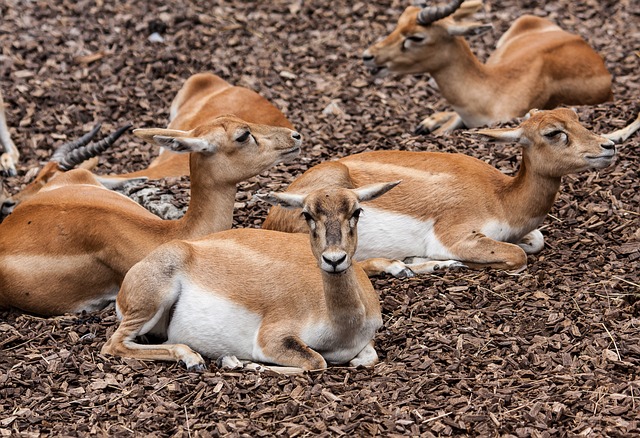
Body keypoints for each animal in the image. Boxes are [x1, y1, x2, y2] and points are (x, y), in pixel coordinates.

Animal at [101, 181, 400, 372]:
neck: (341, 328)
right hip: (149, 304)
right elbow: (316, 362)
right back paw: (194, 358)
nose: (334, 259)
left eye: (356, 211)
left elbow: (366, 358)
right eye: (307, 214)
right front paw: (243, 364)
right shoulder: (271, 339)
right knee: (113, 345)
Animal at [264, 108, 616, 274]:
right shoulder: (456, 235)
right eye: (554, 132)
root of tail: (271, 219)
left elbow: (535, 241)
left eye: (576, 117)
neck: (501, 198)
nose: (609, 145)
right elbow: (516, 256)